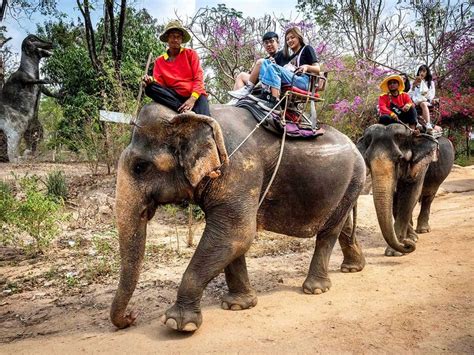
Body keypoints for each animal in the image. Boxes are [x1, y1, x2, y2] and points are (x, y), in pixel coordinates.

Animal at [111, 103, 366, 334]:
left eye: (140, 167)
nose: (131, 317)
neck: (189, 116)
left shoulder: (239, 169)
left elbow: (236, 233)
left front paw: (179, 324)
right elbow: (232, 240)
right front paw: (237, 305)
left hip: (356, 176)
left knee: (328, 233)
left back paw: (315, 289)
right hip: (349, 186)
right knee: (341, 225)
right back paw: (353, 268)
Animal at [358, 124, 454, 258]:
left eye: (399, 159)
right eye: (366, 159)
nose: (407, 245)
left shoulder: (421, 163)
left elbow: (410, 195)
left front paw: (394, 252)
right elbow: (395, 200)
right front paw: (410, 239)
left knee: (428, 196)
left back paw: (423, 230)